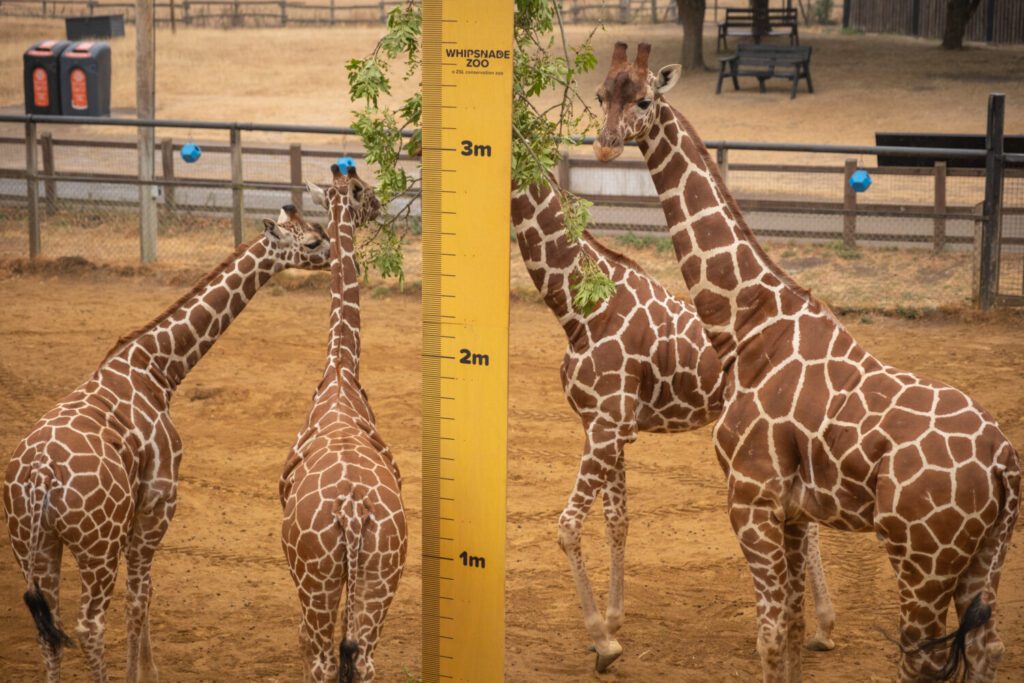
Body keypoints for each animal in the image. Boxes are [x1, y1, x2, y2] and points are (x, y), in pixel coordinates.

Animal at [3, 206, 331, 683]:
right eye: (311, 242)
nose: (340, 256)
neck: (157, 368)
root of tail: (40, 477)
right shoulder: (158, 498)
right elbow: (140, 596)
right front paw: (144, 674)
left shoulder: (135, 508)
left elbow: (143, 593)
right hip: (95, 543)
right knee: (88, 624)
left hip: (31, 542)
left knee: (50, 626)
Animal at [510, 181, 836, 672]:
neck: (582, 309)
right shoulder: (607, 425)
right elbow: (617, 522)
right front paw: (612, 625)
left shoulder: (606, 425)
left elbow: (568, 526)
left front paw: (603, 641)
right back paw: (821, 629)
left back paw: (819, 625)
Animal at [592, 41, 1021, 682]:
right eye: (601, 95)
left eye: (644, 99)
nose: (604, 144)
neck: (746, 323)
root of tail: (1005, 464)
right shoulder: (793, 510)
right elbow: (793, 628)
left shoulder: (749, 496)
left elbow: (771, 636)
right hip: (986, 556)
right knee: (985, 647)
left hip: (922, 556)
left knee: (920, 657)